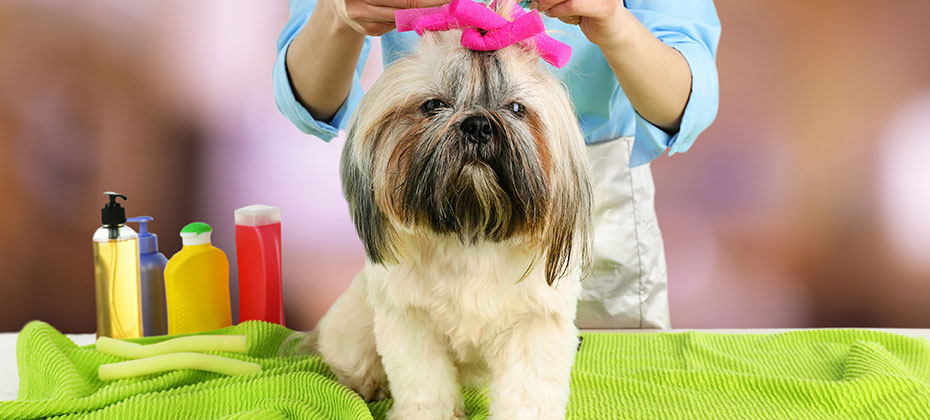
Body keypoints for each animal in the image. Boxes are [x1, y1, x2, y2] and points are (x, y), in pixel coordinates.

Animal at [310, 2, 588, 416]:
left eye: (516, 109)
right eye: (434, 105)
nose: (477, 124)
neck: (471, 231)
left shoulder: (534, 326)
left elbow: (527, 392)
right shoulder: (410, 322)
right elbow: (424, 385)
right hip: (353, 334)